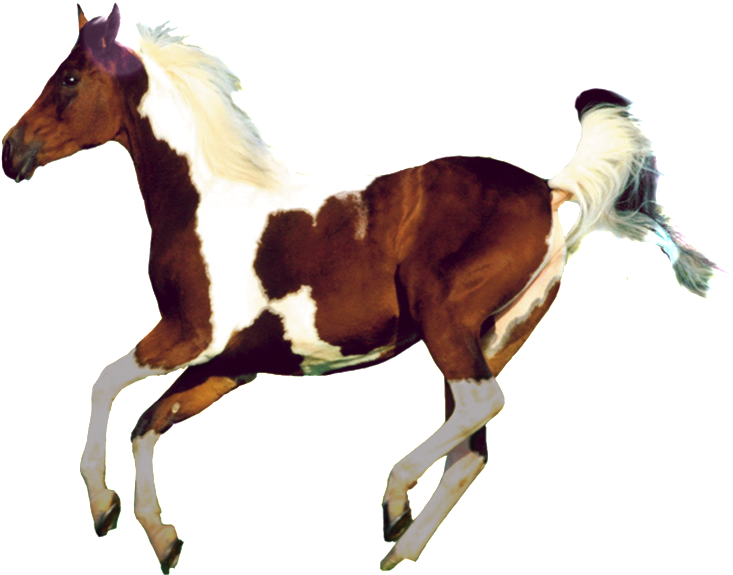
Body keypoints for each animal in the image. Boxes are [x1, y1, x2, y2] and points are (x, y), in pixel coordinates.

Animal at [2, 3, 728, 573]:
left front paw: (103, 507)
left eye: (69, 78)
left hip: (446, 323)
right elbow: (148, 426)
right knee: (471, 446)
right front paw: (162, 538)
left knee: (482, 407)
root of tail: (551, 189)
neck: (208, 198)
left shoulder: (188, 334)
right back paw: (401, 545)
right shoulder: (230, 364)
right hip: (489, 337)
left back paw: (392, 502)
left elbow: (105, 383)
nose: (11, 153)